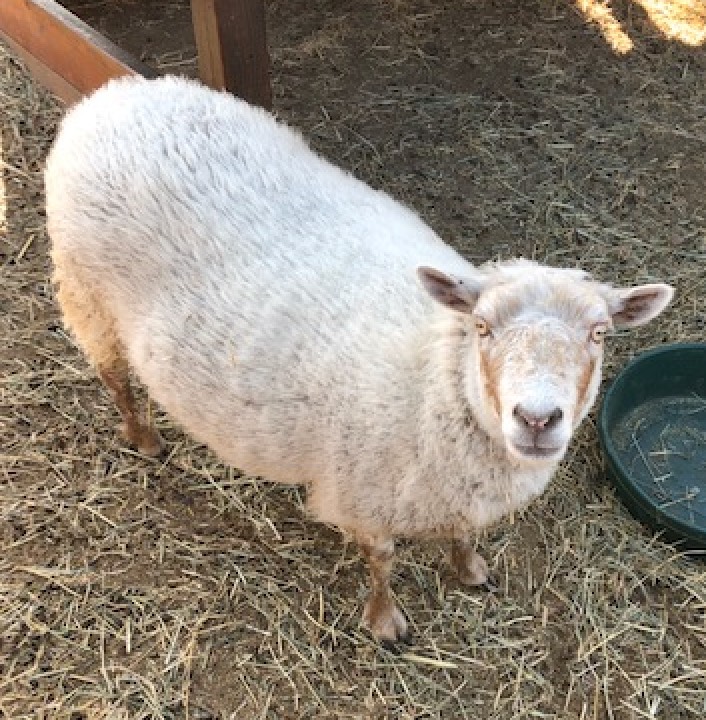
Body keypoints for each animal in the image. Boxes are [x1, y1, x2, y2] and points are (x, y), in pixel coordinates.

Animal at [45, 75, 674, 644]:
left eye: (599, 333)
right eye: (482, 326)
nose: (538, 419)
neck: (434, 374)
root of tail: (114, 95)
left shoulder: (454, 489)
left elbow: (462, 532)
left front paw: (468, 568)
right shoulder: (364, 492)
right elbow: (381, 561)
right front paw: (385, 621)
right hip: (87, 292)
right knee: (113, 373)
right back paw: (143, 437)